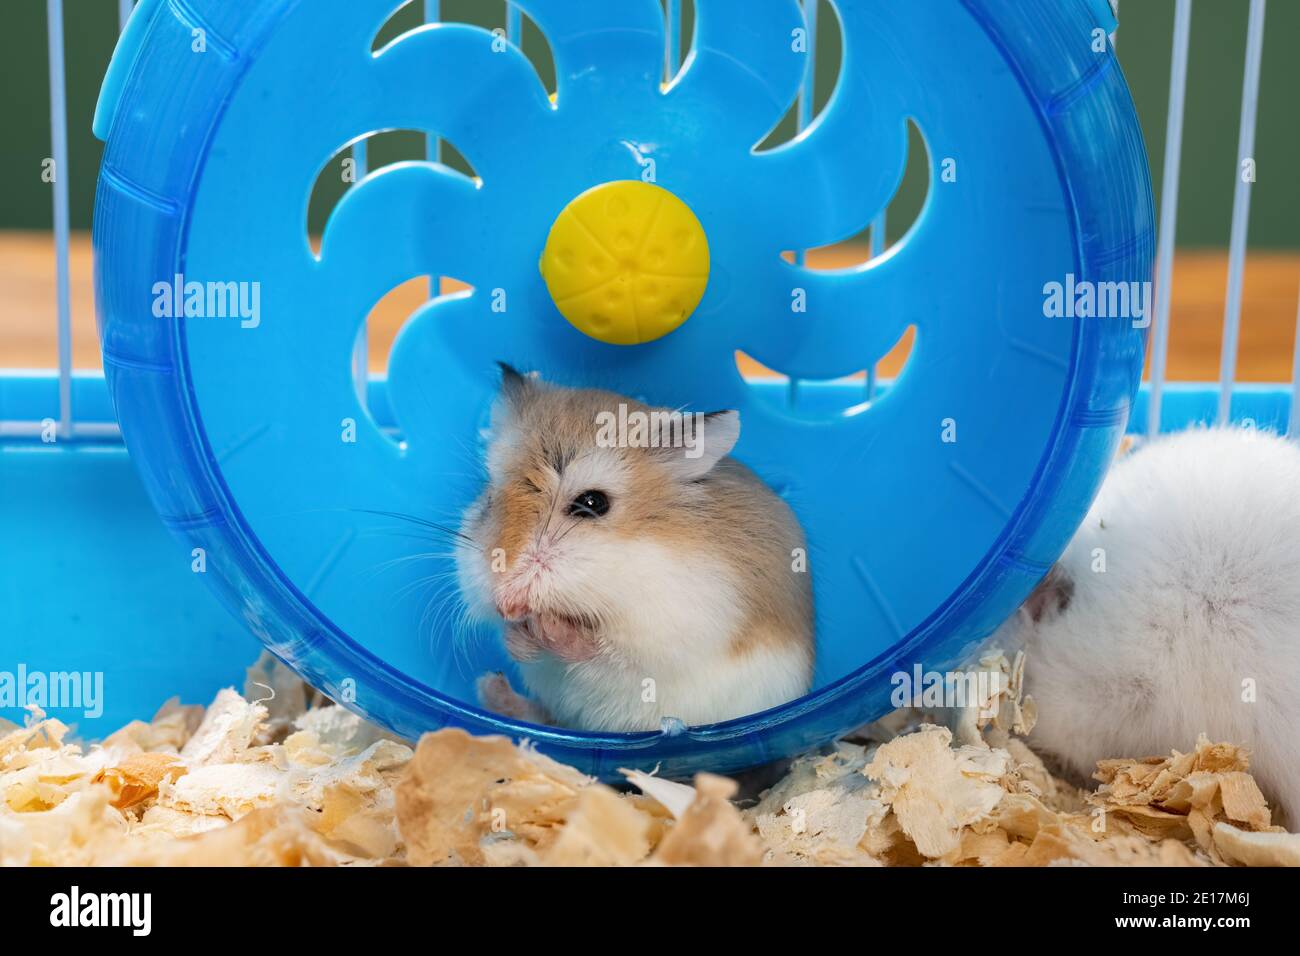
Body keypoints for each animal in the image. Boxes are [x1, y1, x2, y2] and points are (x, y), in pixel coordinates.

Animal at [456, 365, 814, 732]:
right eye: (490, 497)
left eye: (592, 503)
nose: (504, 604)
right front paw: (520, 637)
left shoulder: (670, 631)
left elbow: (603, 653)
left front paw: (548, 628)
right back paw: (493, 686)